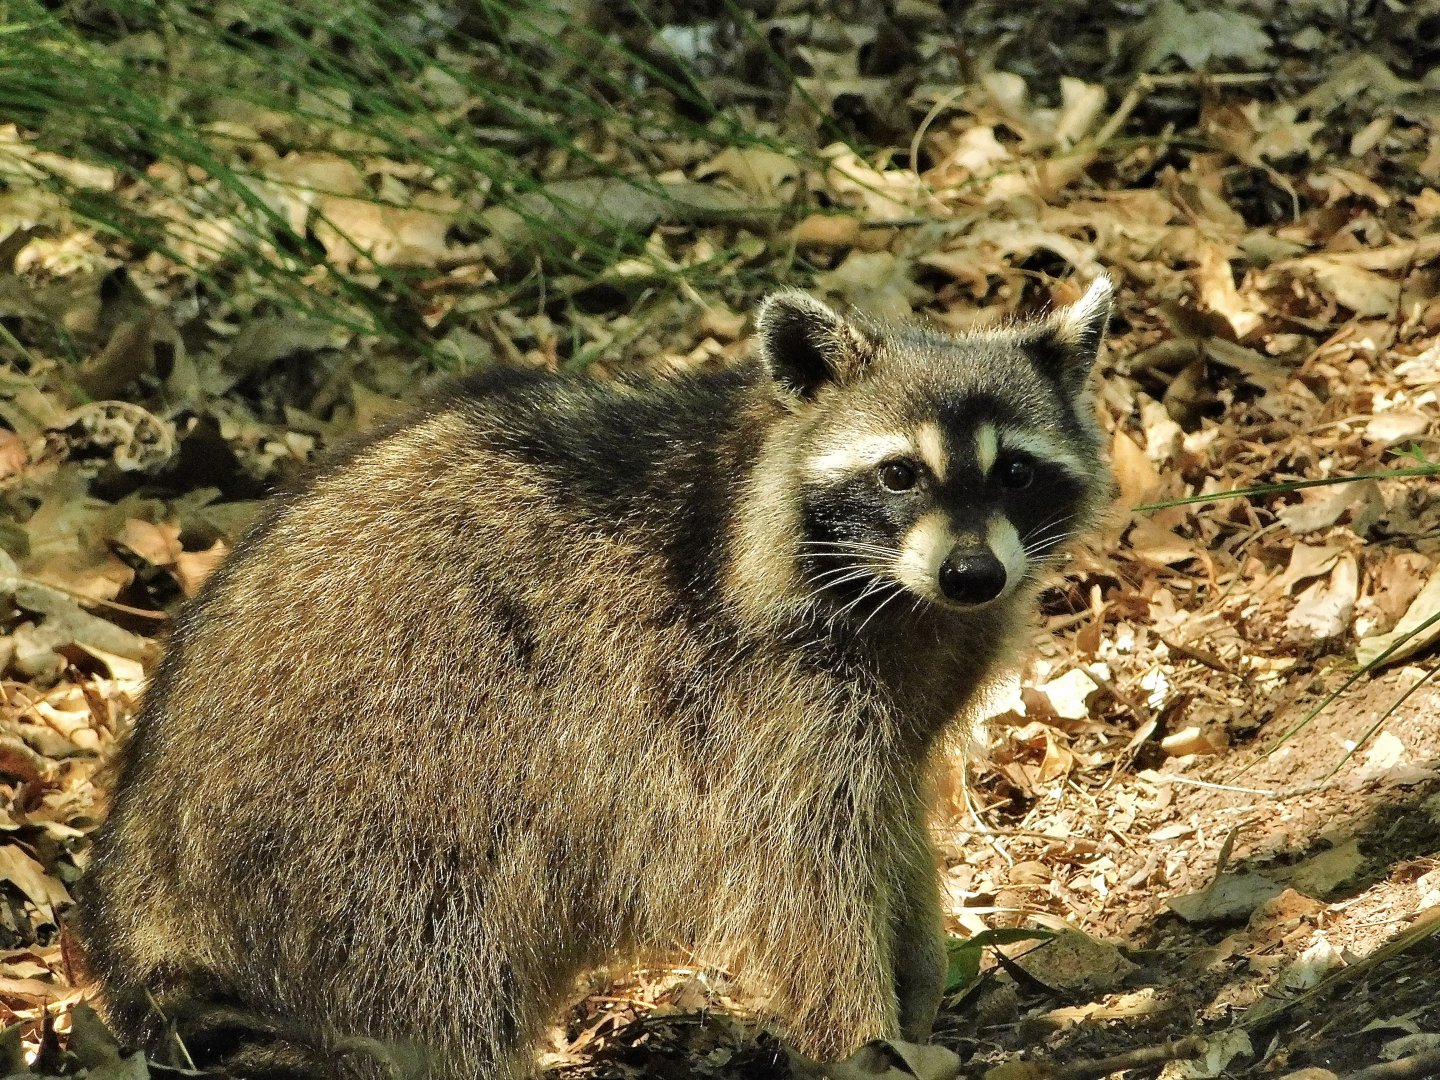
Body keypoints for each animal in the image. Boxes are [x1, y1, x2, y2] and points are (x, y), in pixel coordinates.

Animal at [74, 279, 1115, 1080]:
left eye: (1016, 473)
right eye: (900, 474)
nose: (974, 574)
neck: (902, 596)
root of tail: (142, 858)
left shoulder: (903, 690)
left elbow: (889, 823)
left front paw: (920, 971)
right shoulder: (753, 696)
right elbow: (804, 876)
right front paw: (862, 1033)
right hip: (369, 822)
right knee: (441, 989)